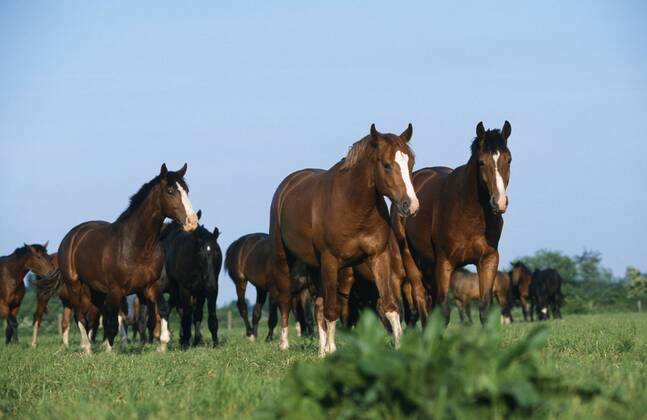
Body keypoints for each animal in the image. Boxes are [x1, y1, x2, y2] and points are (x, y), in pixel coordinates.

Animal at [48, 163, 198, 353]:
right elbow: (112, 322)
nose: (192, 222)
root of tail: (72, 236)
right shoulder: (116, 290)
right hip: (75, 285)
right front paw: (109, 351)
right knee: (80, 315)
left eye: (187, 190)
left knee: (92, 317)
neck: (136, 245)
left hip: (95, 290)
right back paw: (87, 348)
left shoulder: (150, 286)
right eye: (170, 191)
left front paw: (163, 345)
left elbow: (162, 309)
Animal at [157, 210, 221, 348]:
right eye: (201, 252)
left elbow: (204, 316)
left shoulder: (205, 291)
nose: (210, 283)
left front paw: (213, 342)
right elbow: (186, 314)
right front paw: (186, 341)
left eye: (216, 253)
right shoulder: (185, 289)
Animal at [269, 123, 418, 356]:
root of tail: (288, 184)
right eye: (386, 165)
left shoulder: (378, 256)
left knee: (318, 305)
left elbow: (390, 304)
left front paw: (399, 346)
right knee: (286, 299)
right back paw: (284, 344)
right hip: (283, 258)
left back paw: (320, 350)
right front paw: (332, 350)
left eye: (411, 163)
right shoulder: (331, 261)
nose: (411, 205)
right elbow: (333, 309)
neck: (353, 206)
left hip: (314, 265)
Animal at [392, 121, 512, 326]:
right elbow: (444, 312)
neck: (469, 215)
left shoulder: (488, 260)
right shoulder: (444, 264)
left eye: (509, 160)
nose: (499, 202)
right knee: (420, 298)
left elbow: (484, 310)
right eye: (481, 162)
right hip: (409, 257)